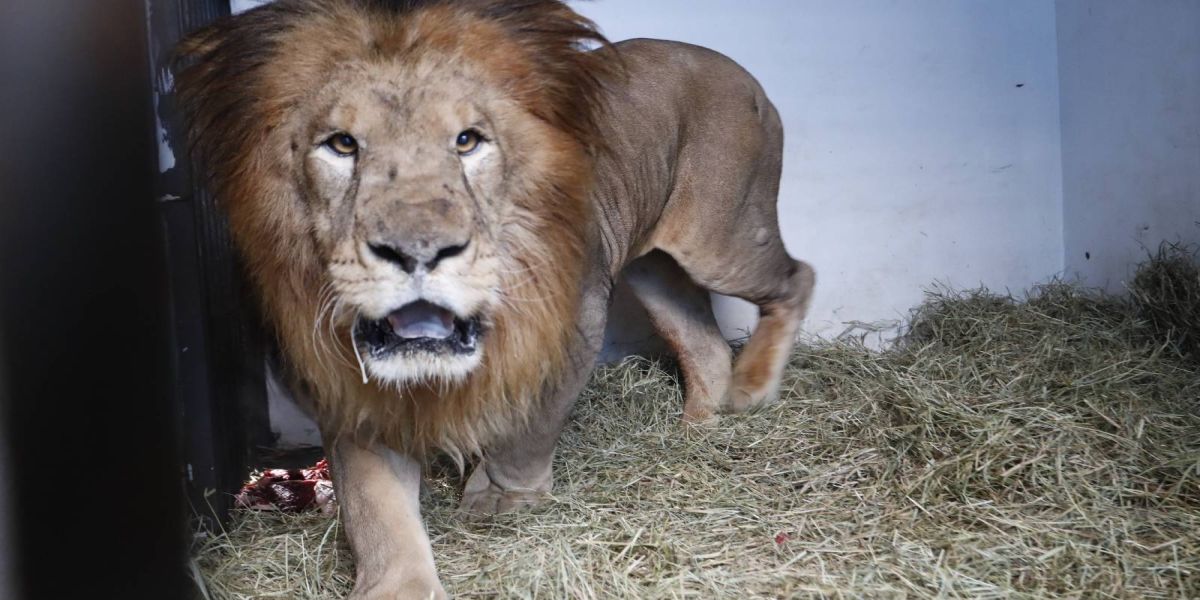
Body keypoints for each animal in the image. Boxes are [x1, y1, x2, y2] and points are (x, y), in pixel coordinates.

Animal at [176, 0, 815, 597]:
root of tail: (740, 72)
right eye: (342, 145)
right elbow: (375, 505)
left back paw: (752, 388)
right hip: (656, 267)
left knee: (797, 276)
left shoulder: (572, 327)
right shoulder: (351, 383)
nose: (417, 251)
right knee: (704, 344)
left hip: (721, 239)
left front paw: (502, 500)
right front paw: (396, 584)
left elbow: (527, 429)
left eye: (467, 142)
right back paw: (699, 431)